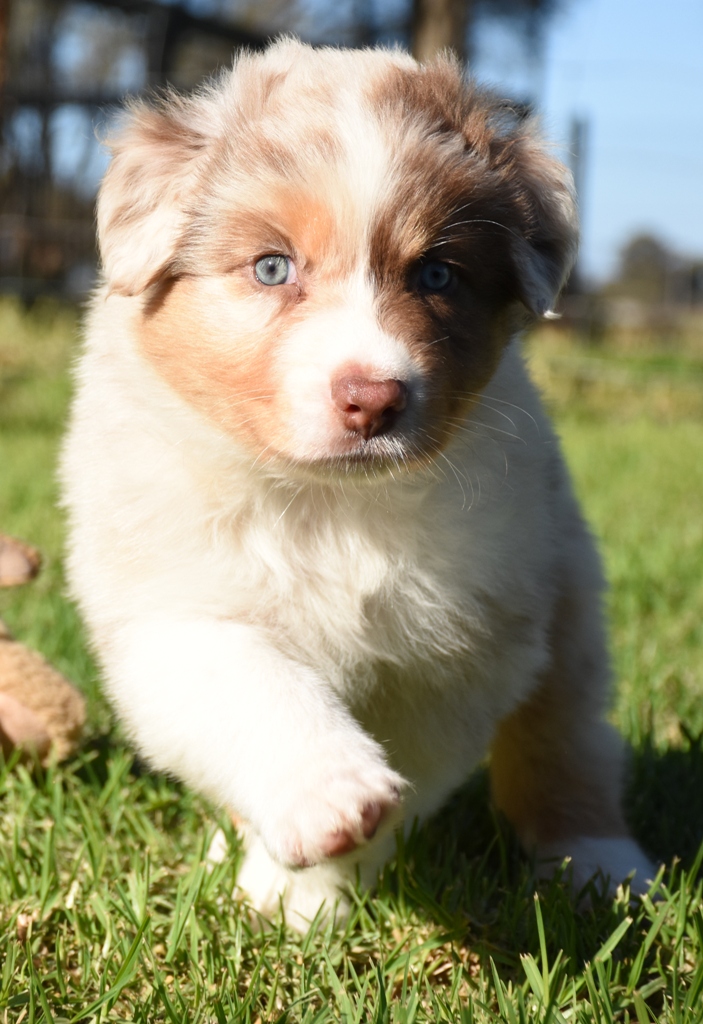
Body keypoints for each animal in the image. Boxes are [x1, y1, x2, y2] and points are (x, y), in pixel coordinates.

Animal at [61, 39, 654, 929]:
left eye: (436, 276)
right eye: (272, 268)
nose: (374, 399)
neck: (328, 504)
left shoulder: (456, 652)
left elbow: (411, 769)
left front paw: (306, 894)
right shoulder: (172, 600)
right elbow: (248, 681)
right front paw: (323, 807)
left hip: (566, 602)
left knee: (563, 743)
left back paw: (599, 867)